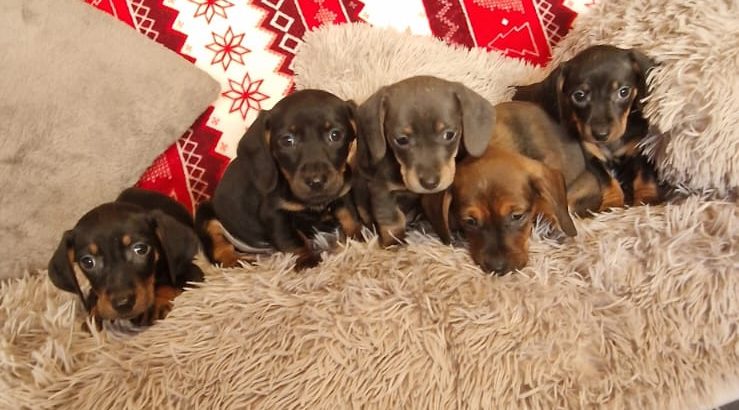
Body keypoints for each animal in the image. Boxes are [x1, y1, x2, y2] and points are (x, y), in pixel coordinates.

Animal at [48, 188, 205, 326]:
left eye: (141, 249)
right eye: (87, 261)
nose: (123, 304)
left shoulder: (193, 273)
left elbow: (168, 285)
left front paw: (156, 304)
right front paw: (95, 313)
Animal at [195, 89, 360, 270]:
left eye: (335, 135)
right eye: (288, 140)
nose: (316, 181)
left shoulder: (342, 194)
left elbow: (350, 218)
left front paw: (360, 241)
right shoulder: (274, 213)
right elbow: (292, 240)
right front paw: (308, 260)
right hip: (205, 214)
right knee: (220, 251)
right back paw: (238, 261)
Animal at [354, 75, 494, 247]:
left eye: (449, 134)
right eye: (401, 140)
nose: (430, 183)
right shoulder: (381, 190)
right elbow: (392, 221)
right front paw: (394, 244)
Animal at [516, 44, 664, 208]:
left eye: (624, 92)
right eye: (579, 95)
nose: (601, 134)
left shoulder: (639, 147)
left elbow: (644, 174)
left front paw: (647, 198)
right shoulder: (592, 156)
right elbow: (607, 180)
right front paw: (612, 203)